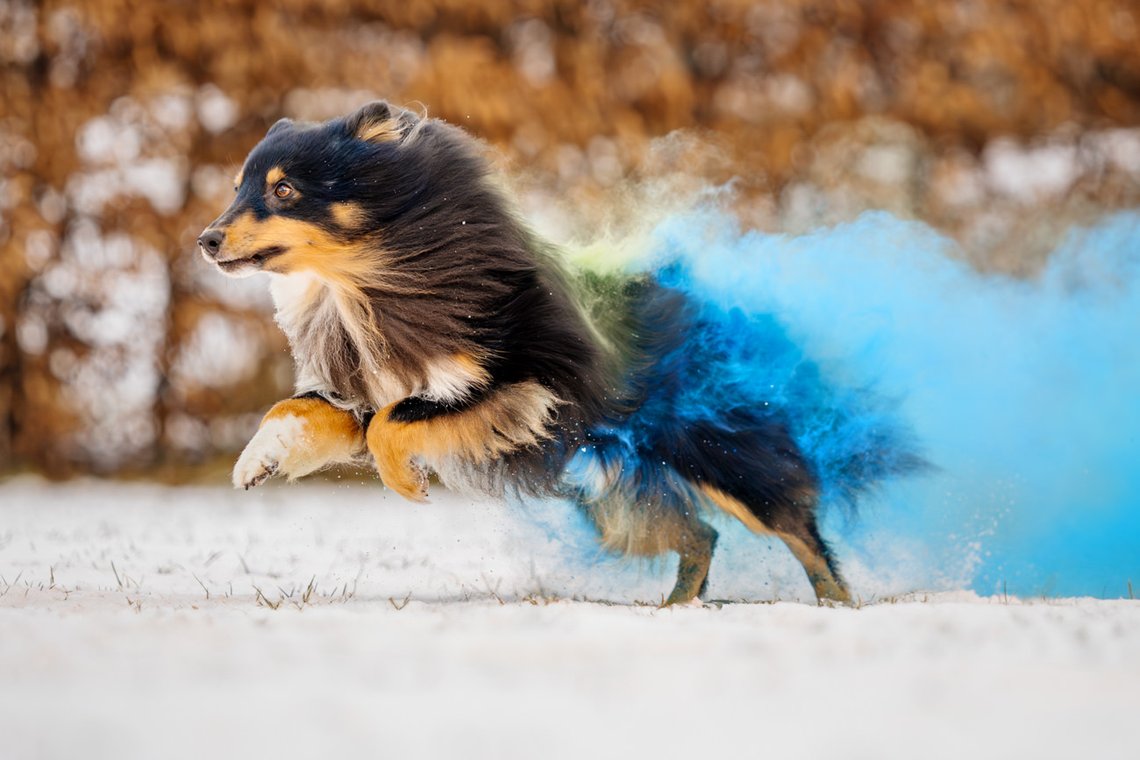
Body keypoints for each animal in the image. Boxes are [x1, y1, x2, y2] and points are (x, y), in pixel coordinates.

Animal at [200, 102, 921, 606]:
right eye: (238, 187)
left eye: (285, 189)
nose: (206, 239)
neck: (371, 283)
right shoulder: (367, 385)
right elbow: (308, 410)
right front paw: (256, 463)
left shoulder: (527, 383)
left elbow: (393, 425)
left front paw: (408, 485)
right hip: (612, 492)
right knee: (702, 535)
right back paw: (674, 608)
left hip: (717, 455)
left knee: (799, 532)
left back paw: (835, 607)